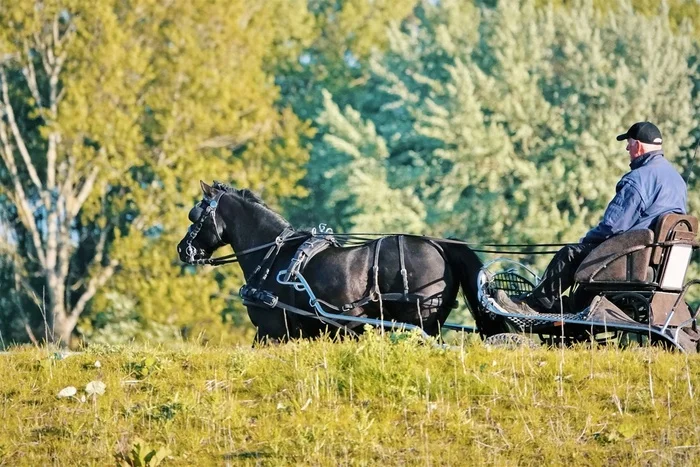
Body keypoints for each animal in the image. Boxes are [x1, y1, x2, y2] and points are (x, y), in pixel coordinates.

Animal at [178, 182, 490, 344]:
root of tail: (437, 244)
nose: (183, 249)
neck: (274, 257)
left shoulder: (271, 331)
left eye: (195, 215)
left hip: (420, 323)